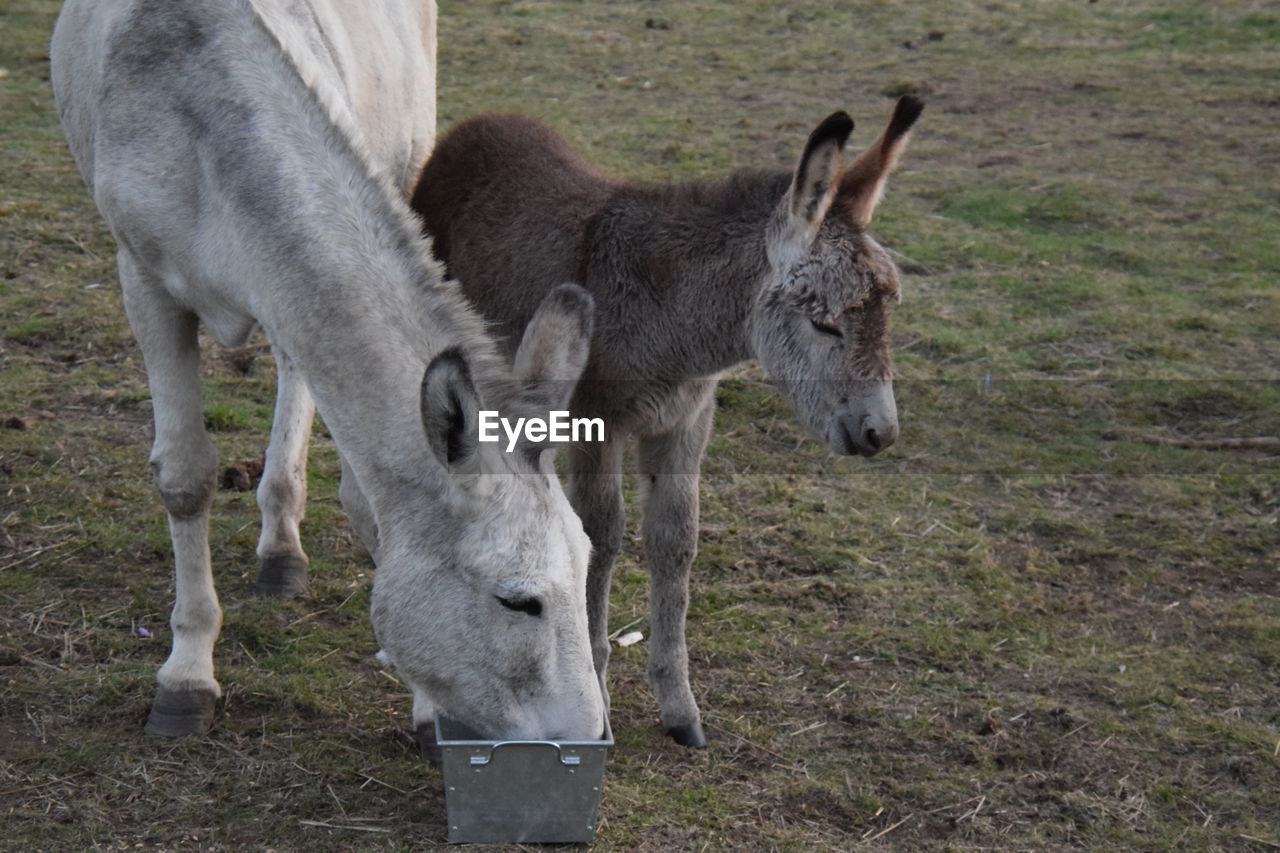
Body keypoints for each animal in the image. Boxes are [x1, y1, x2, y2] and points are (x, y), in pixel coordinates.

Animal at [414, 94, 926, 742]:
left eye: (888, 315)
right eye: (825, 324)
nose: (880, 432)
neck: (669, 320)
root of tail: (482, 121)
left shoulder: (684, 424)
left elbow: (676, 540)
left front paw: (680, 707)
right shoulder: (596, 424)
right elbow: (602, 534)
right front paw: (597, 689)